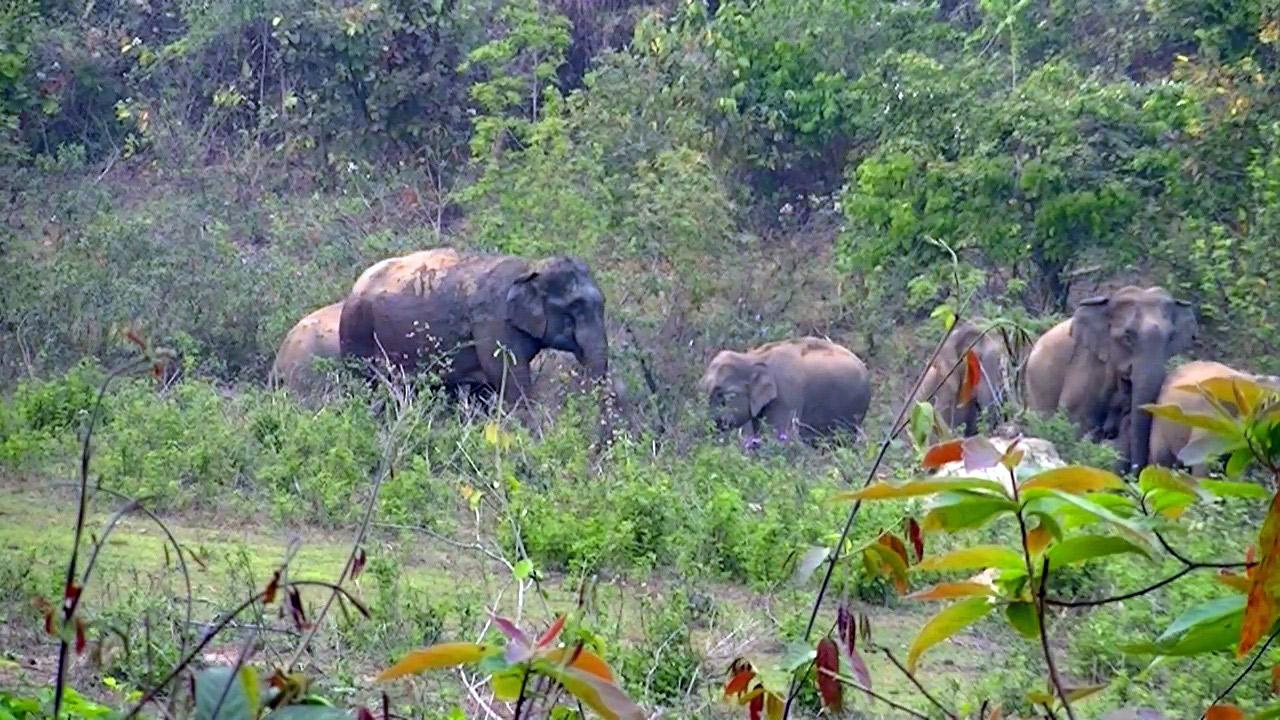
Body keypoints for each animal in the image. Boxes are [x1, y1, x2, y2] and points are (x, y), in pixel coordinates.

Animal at [340, 244, 609, 404]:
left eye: (602, 304)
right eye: (575, 308)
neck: (530, 268)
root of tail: (354, 287)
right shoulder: (492, 323)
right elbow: (508, 377)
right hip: (356, 330)